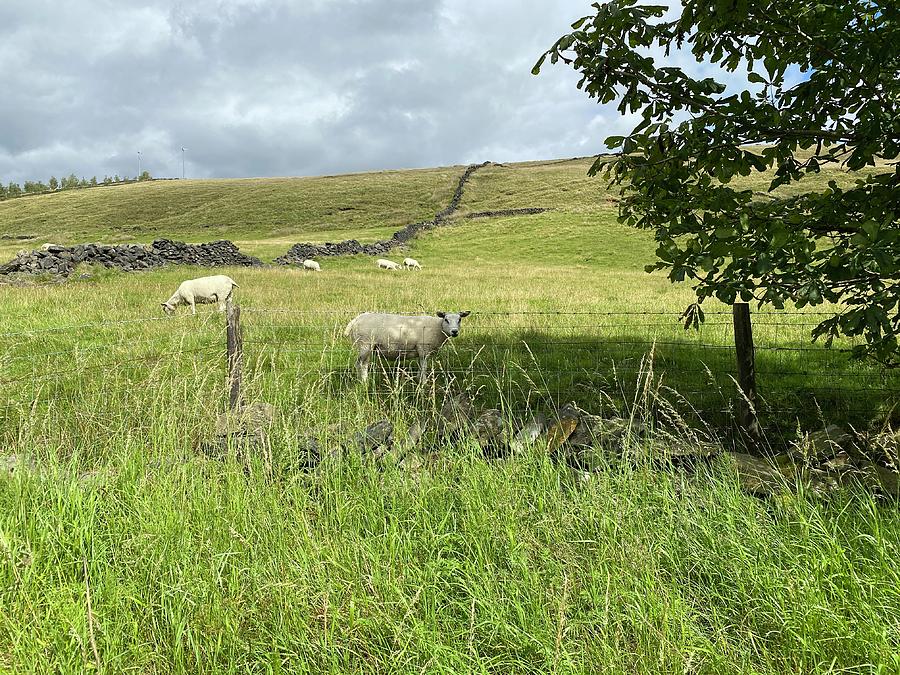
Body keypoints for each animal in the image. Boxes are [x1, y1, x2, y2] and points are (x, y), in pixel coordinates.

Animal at [342, 310, 472, 382]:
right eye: (446, 319)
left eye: (460, 319)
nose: (454, 332)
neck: (437, 327)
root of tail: (355, 319)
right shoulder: (423, 349)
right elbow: (424, 366)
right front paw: (423, 382)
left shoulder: (420, 351)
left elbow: (420, 366)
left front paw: (418, 379)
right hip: (365, 344)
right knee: (360, 364)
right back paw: (363, 381)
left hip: (367, 346)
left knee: (363, 364)